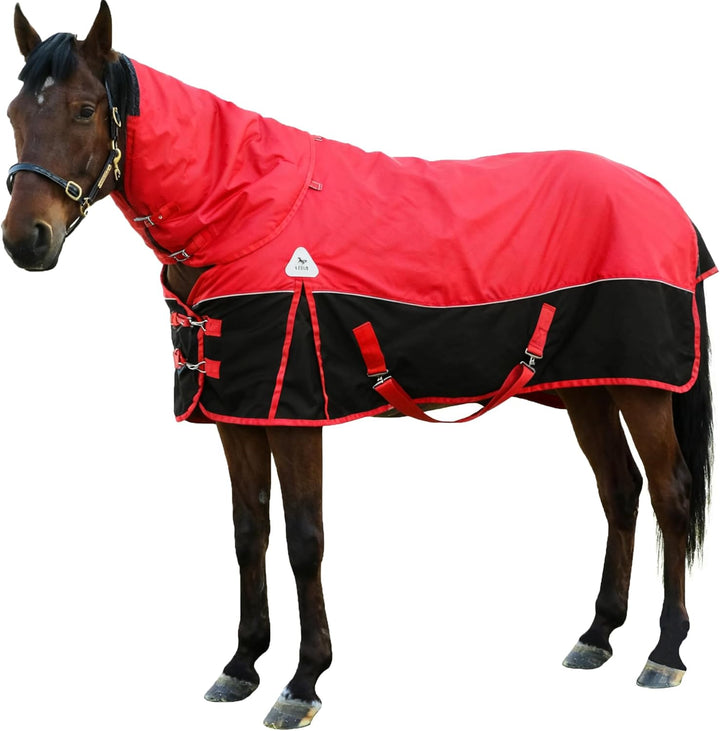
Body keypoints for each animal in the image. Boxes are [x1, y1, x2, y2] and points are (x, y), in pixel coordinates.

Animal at [2, 3, 714, 728]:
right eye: (14, 113)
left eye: (85, 109)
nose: (26, 240)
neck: (248, 208)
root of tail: (664, 198)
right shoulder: (236, 412)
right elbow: (248, 531)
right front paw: (241, 664)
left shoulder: (293, 414)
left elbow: (303, 538)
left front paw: (303, 680)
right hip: (592, 390)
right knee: (619, 490)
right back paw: (598, 635)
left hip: (644, 392)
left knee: (670, 494)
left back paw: (665, 652)